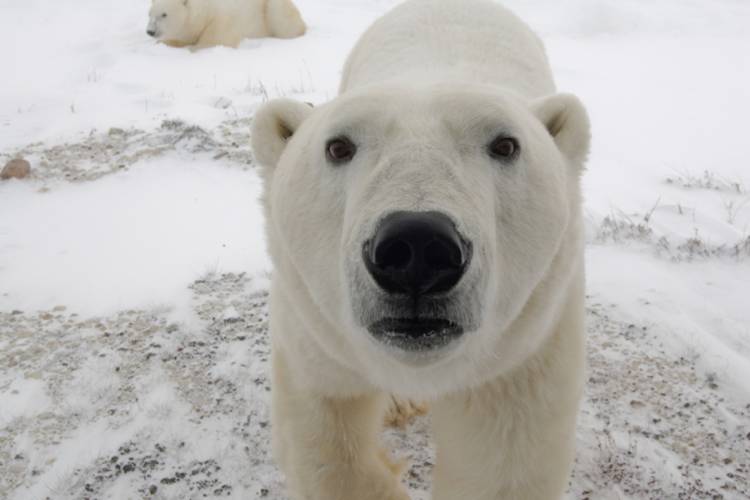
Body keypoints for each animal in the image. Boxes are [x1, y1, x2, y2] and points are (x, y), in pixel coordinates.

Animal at [147, 0, 306, 49]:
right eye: (150, 14)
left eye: (164, 14)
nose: (150, 31)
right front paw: (163, 43)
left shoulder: (222, 20)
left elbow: (217, 40)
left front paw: (195, 47)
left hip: (271, 9)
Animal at [253, 0, 592, 500]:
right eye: (338, 146)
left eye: (505, 144)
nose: (416, 249)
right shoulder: (314, 334)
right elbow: (327, 439)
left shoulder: (524, 349)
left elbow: (499, 466)